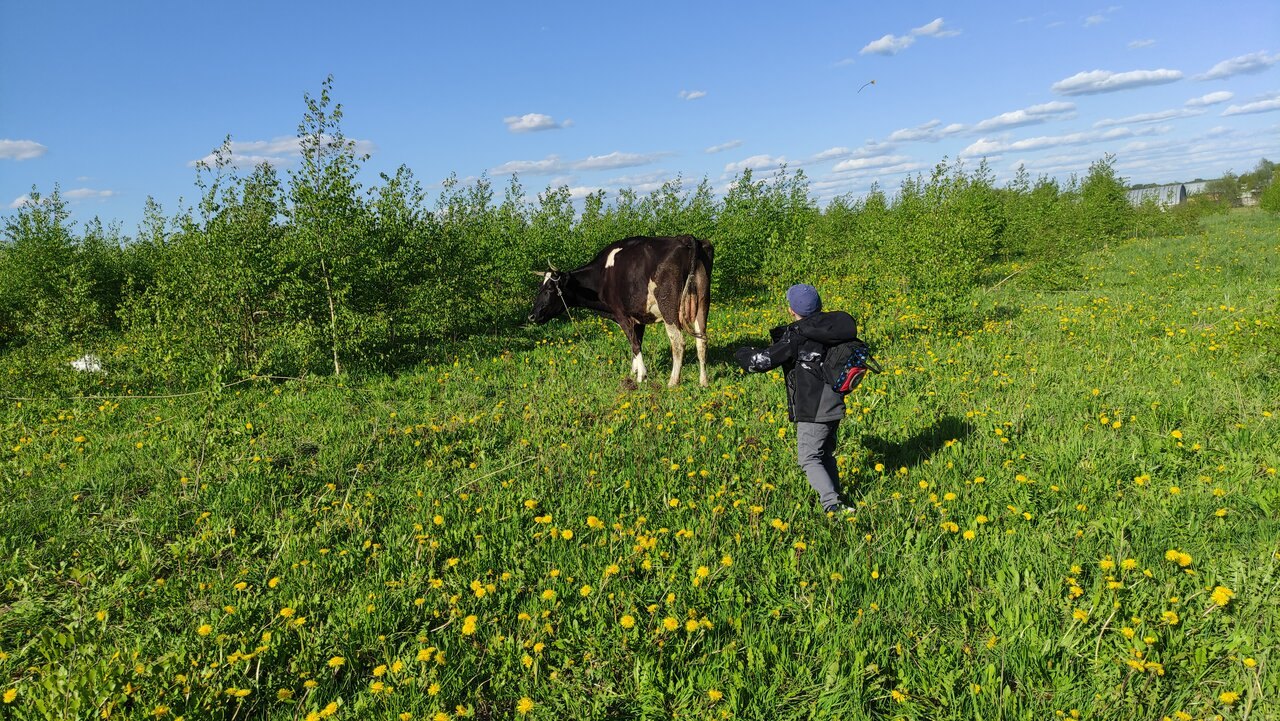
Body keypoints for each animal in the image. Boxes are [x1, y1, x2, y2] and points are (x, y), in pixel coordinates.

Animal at [528, 235, 714, 387]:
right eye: (539, 287)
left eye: (550, 288)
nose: (532, 316)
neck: (602, 275)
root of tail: (684, 238)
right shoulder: (639, 317)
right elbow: (636, 343)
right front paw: (634, 371)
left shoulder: (622, 315)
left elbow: (634, 343)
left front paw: (641, 376)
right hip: (703, 302)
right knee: (702, 340)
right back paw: (703, 382)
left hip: (668, 308)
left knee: (678, 342)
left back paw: (673, 382)